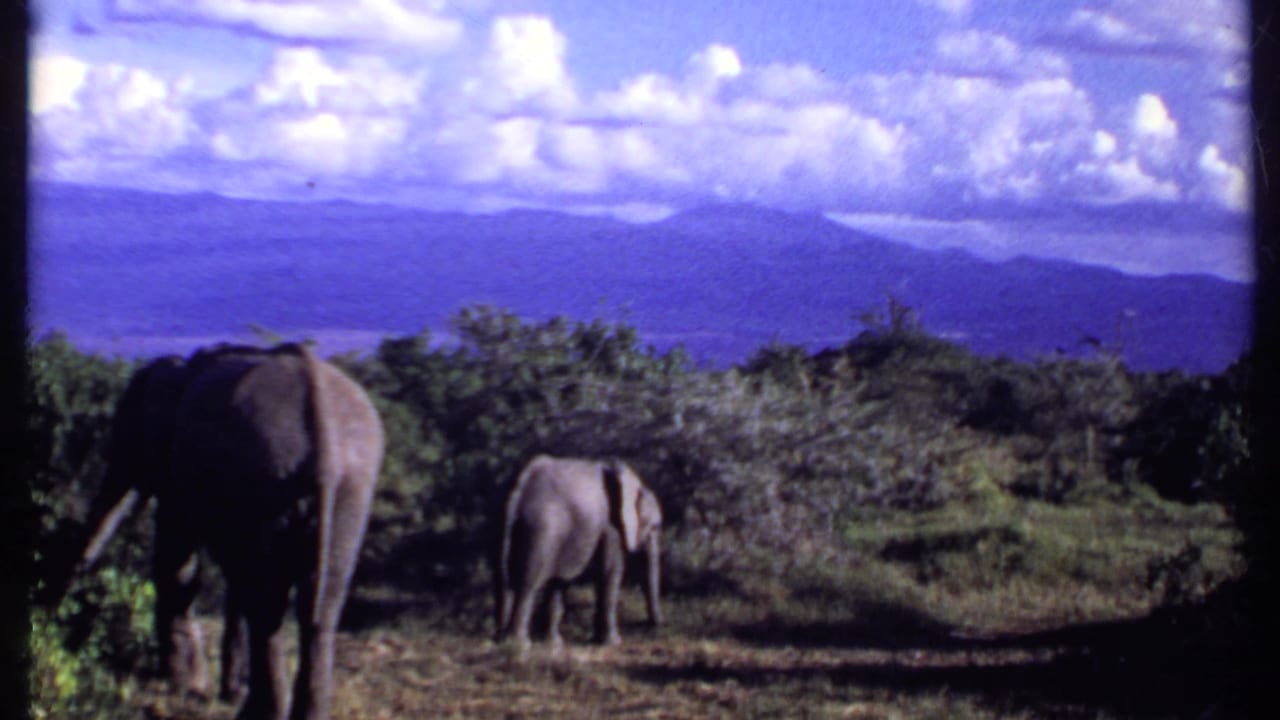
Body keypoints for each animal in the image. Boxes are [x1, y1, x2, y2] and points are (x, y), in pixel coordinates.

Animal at [77, 342, 384, 720]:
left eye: (126, 437)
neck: (179, 369)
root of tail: (324, 439)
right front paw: (225, 690)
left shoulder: (181, 475)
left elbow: (176, 561)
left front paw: (183, 684)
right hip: (348, 492)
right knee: (318, 606)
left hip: (268, 475)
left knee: (268, 604)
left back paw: (257, 713)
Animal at [495, 455, 663, 650]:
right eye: (655, 526)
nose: (652, 626)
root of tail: (518, 491)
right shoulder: (611, 527)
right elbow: (610, 572)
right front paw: (612, 643)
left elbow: (559, 581)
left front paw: (554, 644)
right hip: (541, 530)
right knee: (527, 583)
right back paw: (520, 645)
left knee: (504, 581)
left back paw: (503, 640)